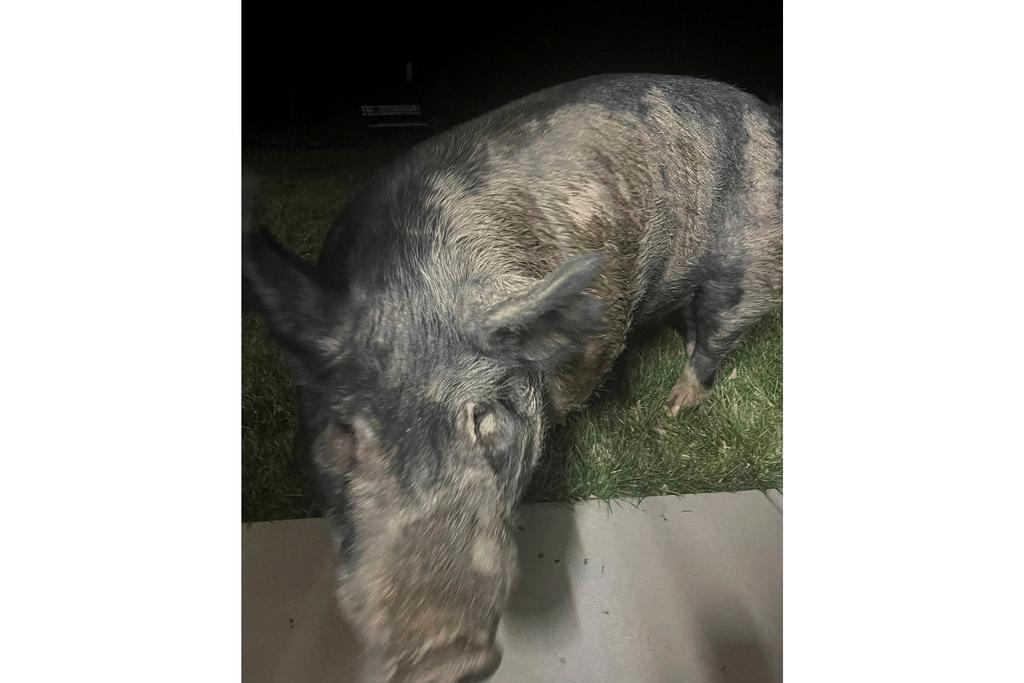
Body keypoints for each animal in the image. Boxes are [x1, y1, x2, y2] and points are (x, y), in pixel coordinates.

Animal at [241, 72, 782, 679]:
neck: (412, 289)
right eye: (344, 432)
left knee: (717, 332)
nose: (445, 654)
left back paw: (673, 406)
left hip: (749, 262)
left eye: (481, 419)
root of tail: (768, 115)